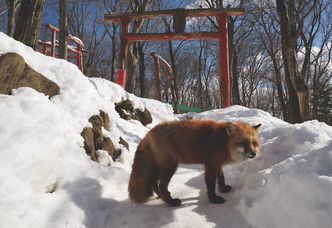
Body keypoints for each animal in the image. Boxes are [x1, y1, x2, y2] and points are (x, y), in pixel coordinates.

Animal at [128, 119, 260, 207]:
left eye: (253, 142)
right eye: (242, 143)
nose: (253, 153)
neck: (223, 142)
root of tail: (150, 133)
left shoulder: (217, 163)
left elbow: (221, 177)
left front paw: (223, 188)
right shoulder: (210, 165)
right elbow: (211, 185)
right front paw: (214, 199)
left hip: (159, 168)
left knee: (155, 184)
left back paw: (163, 197)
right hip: (170, 166)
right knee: (161, 186)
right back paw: (171, 202)